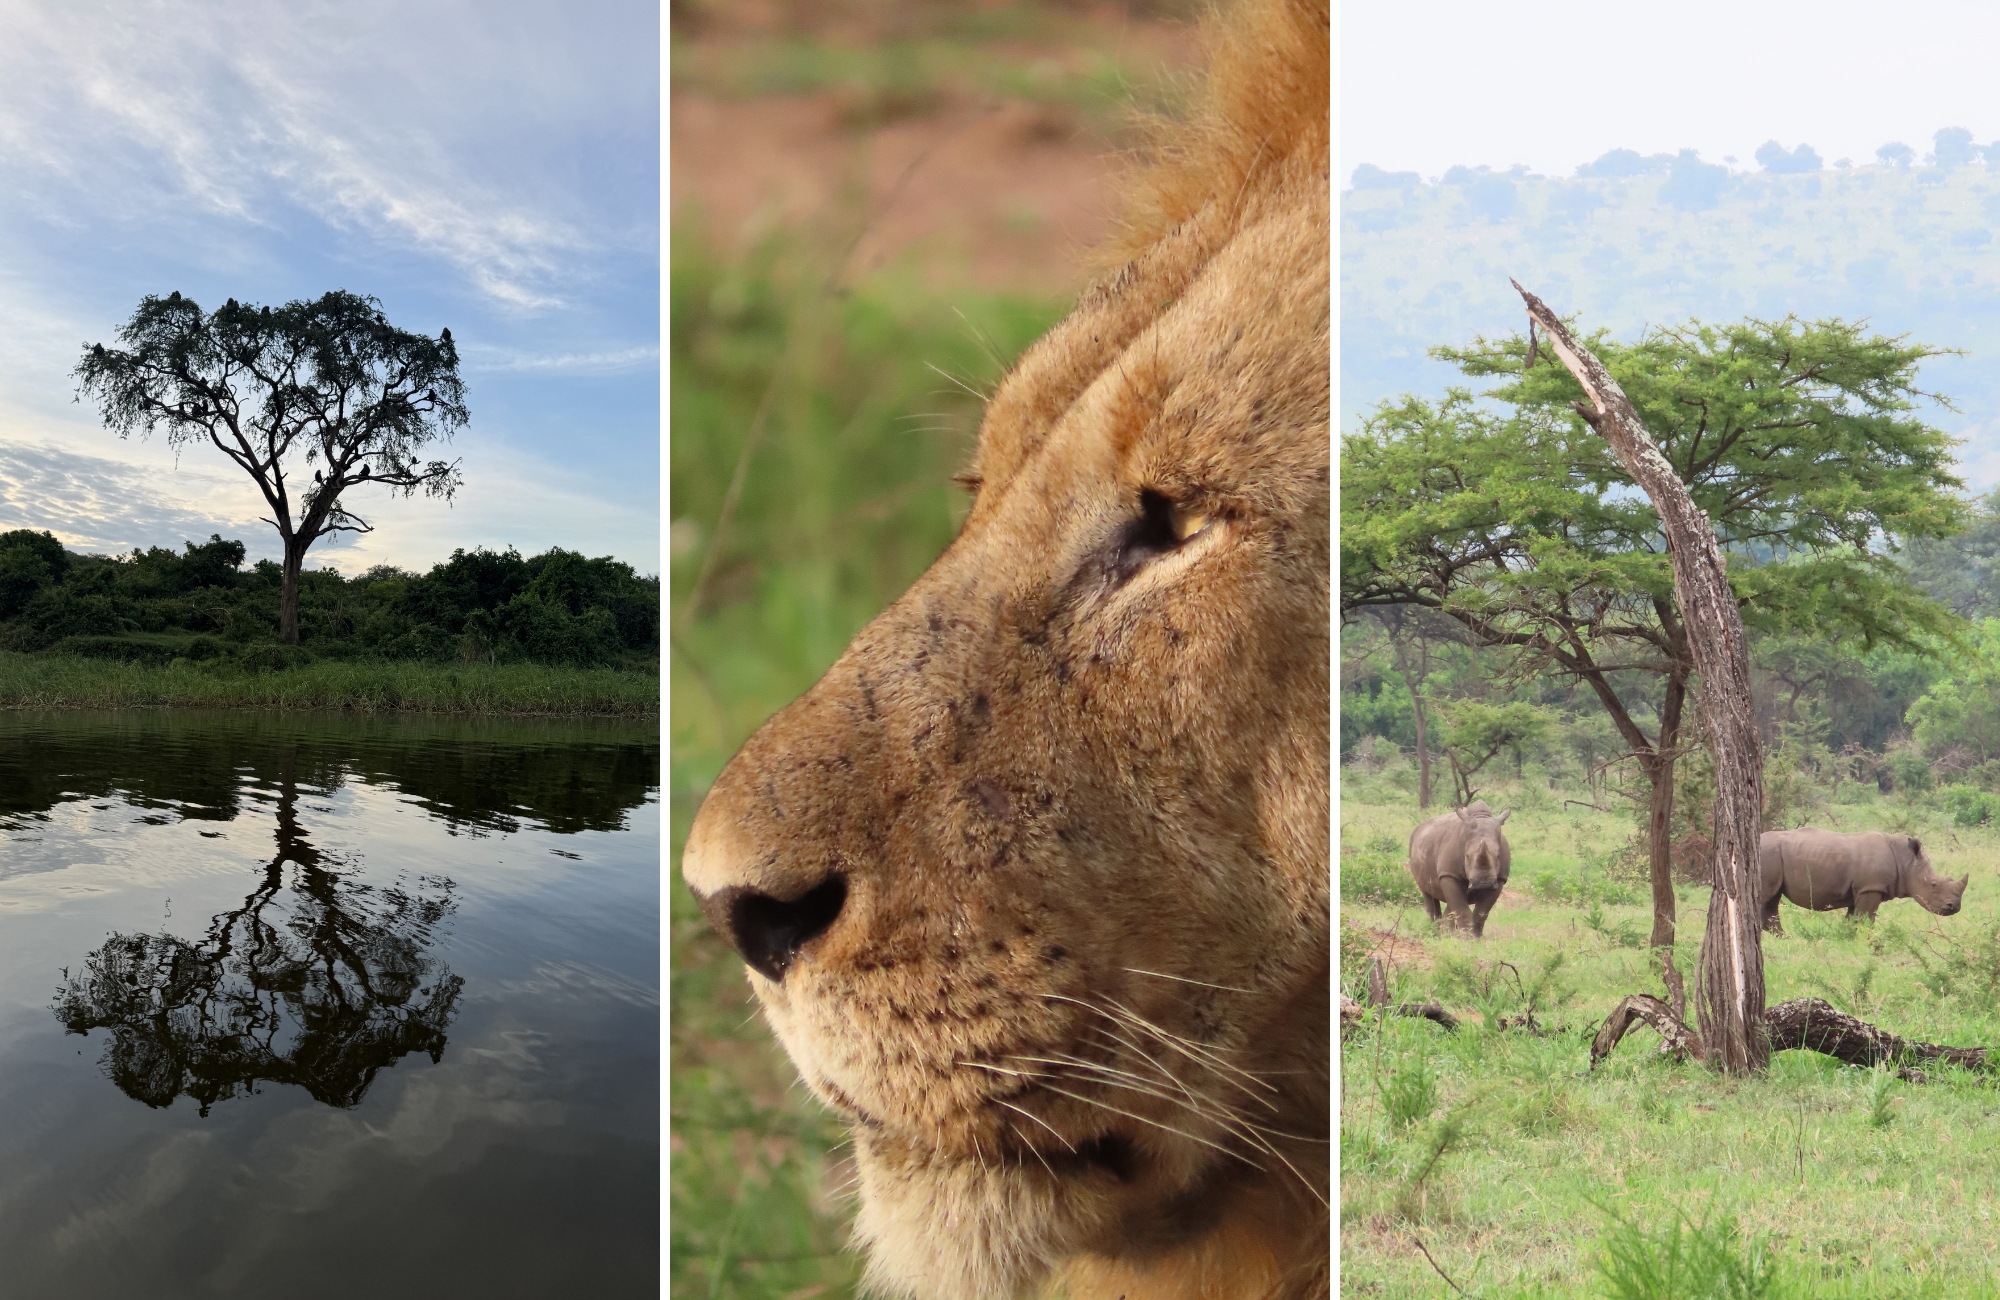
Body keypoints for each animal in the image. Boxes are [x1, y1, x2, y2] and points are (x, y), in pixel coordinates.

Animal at [1407, 801, 1512, 937]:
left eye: (1498, 855)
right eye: (1467, 856)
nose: (1483, 883)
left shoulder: (1499, 879)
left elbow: (1481, 912)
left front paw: (1476, 937)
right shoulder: (1449, 874)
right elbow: (1461, 908)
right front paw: (1466, 938)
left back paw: (1447, 933)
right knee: (1428, 894)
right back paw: (1436, 933)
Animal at [1758, 828, 1968, 934]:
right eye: (1933, 884)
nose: (1954, 907)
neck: (1906, 861)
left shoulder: (1860, 890)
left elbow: (1853, 919)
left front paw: (1849, 939)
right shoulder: (1871, 888)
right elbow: (1866, 919)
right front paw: (1866, 942)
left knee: (1771, 901)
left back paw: (1783, 938)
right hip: (1767, 854)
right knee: (1765, 898)